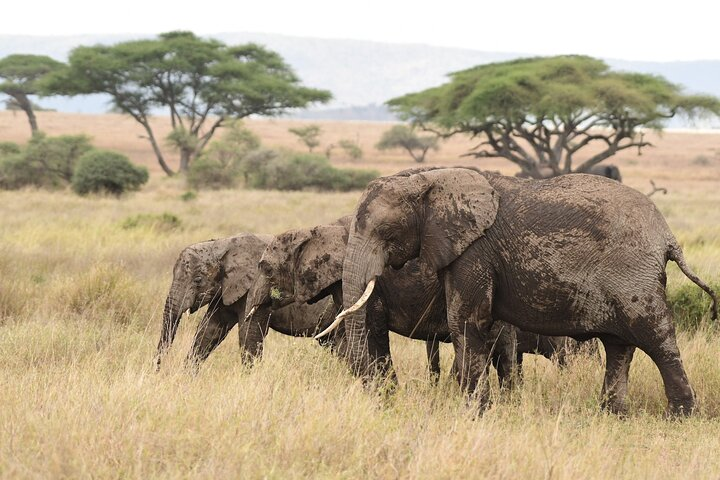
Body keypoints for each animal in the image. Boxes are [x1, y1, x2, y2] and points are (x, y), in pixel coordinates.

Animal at [154, 233, 337, 371]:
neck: (222, 245)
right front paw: (187, 377)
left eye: (198, 280)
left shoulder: (256, 287)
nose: (157, 370)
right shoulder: (226, 290)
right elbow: (209, 330)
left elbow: (248, 332)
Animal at [325, 166, 717, 415]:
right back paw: (612, 415)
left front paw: (474, 413)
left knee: (656, 338)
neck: (427, 182)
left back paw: (680, 416)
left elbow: (466, 322)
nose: (380, 396)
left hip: (632, 275)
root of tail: (668, 236)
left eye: (385, 232)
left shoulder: (474, 251)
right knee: (618, 346)